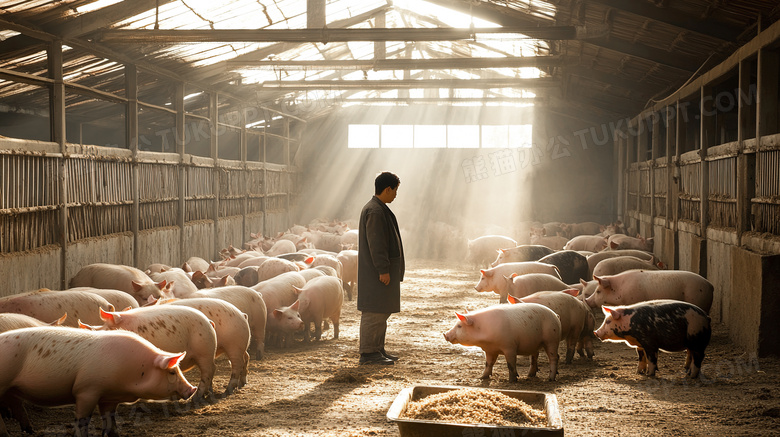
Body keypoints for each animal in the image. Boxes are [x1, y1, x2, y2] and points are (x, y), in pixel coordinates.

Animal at [0, 328, 195, 436]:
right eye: (171, 372)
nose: (191, 389)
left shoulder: (109, 398)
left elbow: (110, 423)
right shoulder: (86, 390)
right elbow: (82, 420)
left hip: (11, 389)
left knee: (17, 406)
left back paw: (29, 431)